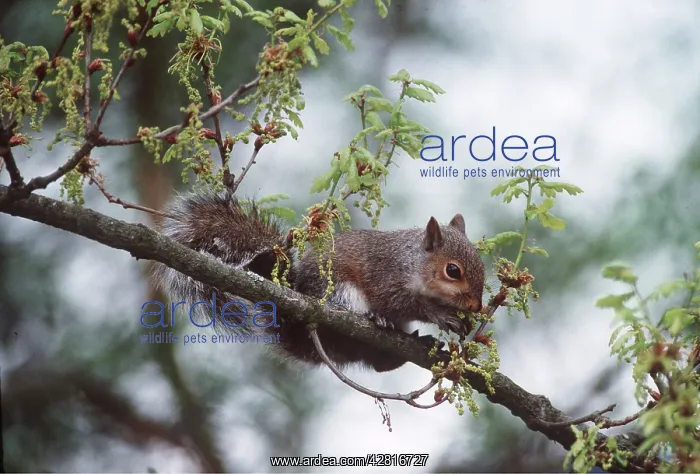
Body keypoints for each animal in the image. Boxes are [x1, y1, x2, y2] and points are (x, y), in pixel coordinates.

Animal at [152, 191, 485, 373]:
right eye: (453, 271)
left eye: (481, 265)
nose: (476, 306)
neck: (411, 263)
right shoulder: (387, 277)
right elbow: (406, 304)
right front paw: (443, 316)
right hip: (339, 293)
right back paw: (375, 319)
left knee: (372, 360)